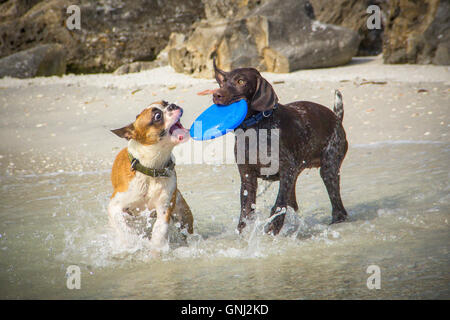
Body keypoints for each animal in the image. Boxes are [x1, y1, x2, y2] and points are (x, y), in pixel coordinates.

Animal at [110, 101, 194, 251]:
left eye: (166, 102)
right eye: (157, 116)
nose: (173, 105)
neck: (151, 168)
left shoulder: (164, 210)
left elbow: (159, 232)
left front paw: (156, 249)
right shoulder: (114, 207)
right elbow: (123, 227)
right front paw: (131, 241)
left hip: (183, 214)